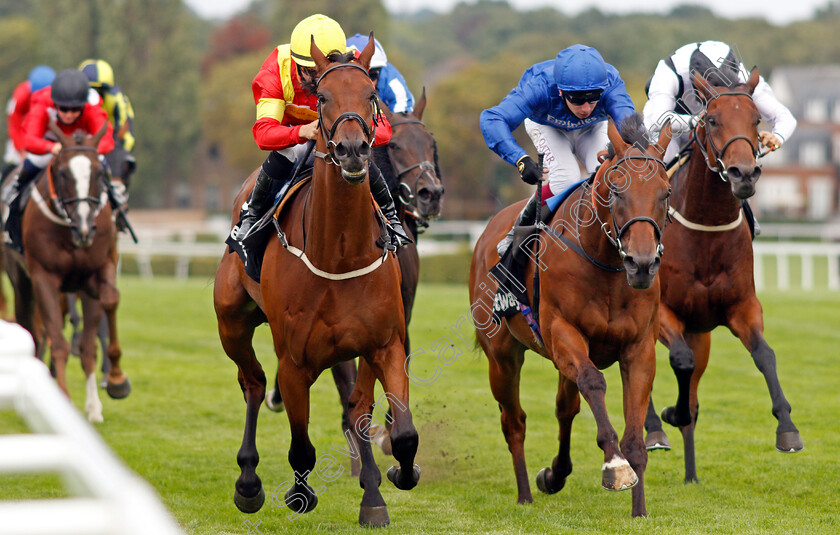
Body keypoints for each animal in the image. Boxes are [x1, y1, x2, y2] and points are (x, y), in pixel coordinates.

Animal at [2, 123, 128, 420]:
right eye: (62, 173)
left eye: (99, 172)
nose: (85, 228)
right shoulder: (43, 277)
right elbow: (57, 339)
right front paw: (64, 399)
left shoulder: (95, 272)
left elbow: (97, 328)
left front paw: (109, 388)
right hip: (21, 278)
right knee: (31, 328)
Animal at [213, 37, 420, 528]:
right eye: (322, 97)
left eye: (371, 95)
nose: (352, 150)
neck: (340, 254)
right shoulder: (294, 361)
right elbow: (302, 446)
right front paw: (299, 493)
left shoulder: (385, 343)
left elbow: (399, 430)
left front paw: (392, 481)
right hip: (232, 323)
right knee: (252, 382)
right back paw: (248, 483)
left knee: (354, 407)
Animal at [470, 118, 672, 520]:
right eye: (615, 191)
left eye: (667, 192)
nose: (642, 264)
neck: (607, 264)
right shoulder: (563, 331)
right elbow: (593, 383)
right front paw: (615, 466)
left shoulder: (639, 348)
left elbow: (634, 434)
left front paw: (639, 510)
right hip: (503, 356)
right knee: (514, 421)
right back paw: (524, 495)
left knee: (566, 408)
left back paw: (554, 474)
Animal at [648, 69, 804, 484]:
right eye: (713, 120)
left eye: (756, 119)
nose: (744, 173)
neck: (705, 229)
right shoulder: (663, 314)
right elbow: (679, 362)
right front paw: (671, 413)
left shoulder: (742, 307)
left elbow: (765, 355)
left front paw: (787, 430)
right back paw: (654, 428)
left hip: (700, 335)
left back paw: (690, 473)